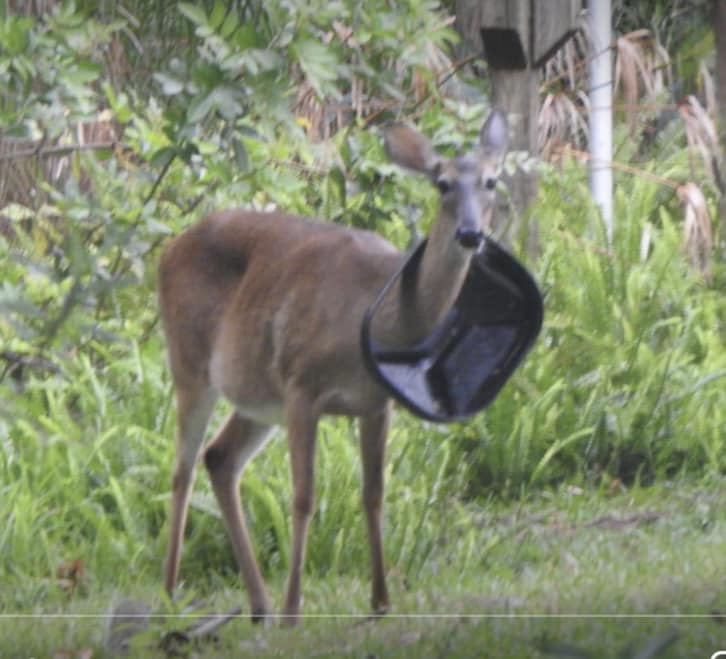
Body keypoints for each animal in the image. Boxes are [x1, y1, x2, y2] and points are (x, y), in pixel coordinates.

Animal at [158, 109, 509, 626]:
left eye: (491, 181)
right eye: (442, 183)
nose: (470, 234)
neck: (378, 312)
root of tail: (168, 248)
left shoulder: (376, 403)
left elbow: (374, 494)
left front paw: (381, 601)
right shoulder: (302, 385)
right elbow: (304, 498)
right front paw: (294, 609)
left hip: (259, 396)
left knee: (219, 458)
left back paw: (258, 606)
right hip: (191, 365)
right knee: (182, 470)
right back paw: (171, 595)